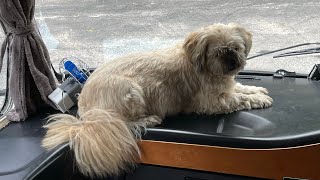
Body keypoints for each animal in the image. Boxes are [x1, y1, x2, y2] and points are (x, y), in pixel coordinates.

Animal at [42, 23, 272, 178]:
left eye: (236, 48)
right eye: (218, 53)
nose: (232, 60)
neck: (207, 68)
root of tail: (85, 114)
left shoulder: (226, 87)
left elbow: (240, 88)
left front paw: (257, 90)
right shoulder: (211, 102)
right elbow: (239, 98)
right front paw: (260, 99)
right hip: (130, 92)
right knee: (123, 123)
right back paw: (149, 119)